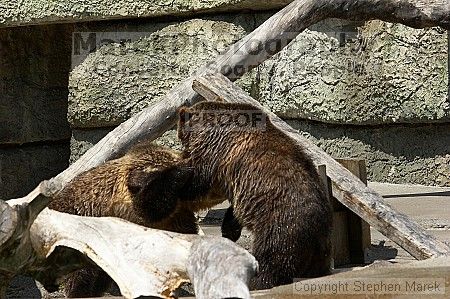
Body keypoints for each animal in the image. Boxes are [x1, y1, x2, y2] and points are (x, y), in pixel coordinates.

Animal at [178, 101, 332, 290]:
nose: (183, 152)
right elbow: (234, 209)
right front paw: (229, 229)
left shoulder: (216, 150)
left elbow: (200, 179)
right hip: (321, 248)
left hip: (281, 221)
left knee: (272, 254)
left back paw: (255, 279)